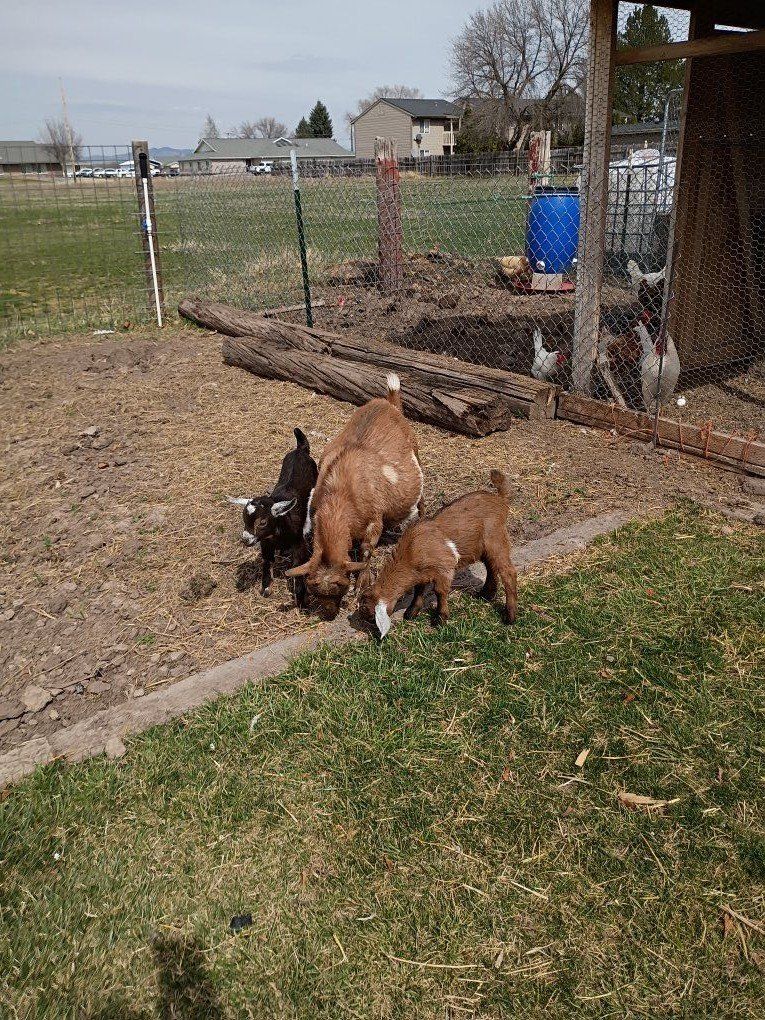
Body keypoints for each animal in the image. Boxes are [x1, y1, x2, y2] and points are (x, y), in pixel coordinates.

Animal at [228, 427, 318, 605]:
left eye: (262, 522)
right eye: (244, 519)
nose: (245, 540)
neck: (277, 535)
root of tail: (300, 449)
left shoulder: (299, 545)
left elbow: (298, 568)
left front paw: (300, 597)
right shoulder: (266, 545)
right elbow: (266, 564)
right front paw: (266, 588)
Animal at [286, 373, 425, 618]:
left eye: (342, 584)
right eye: (313, 588)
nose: (330, 615)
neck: (340, 495)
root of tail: (388, 403)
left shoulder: (374, 522)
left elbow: (366, 552)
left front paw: (362, 584)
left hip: (415, 452)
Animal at [363, 470, 516, 638]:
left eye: (371, 615)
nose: (372, 628)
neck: (410, 550)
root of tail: (500, 500)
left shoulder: (445, 567)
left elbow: (440, 592)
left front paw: (440, 618)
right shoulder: (422, 573)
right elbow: (419, 590)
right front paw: (411, 612)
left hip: (496, 539)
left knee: (508, 572)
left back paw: (510, 616)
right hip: (482, 548)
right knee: (491, 567)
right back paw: (486, 595)